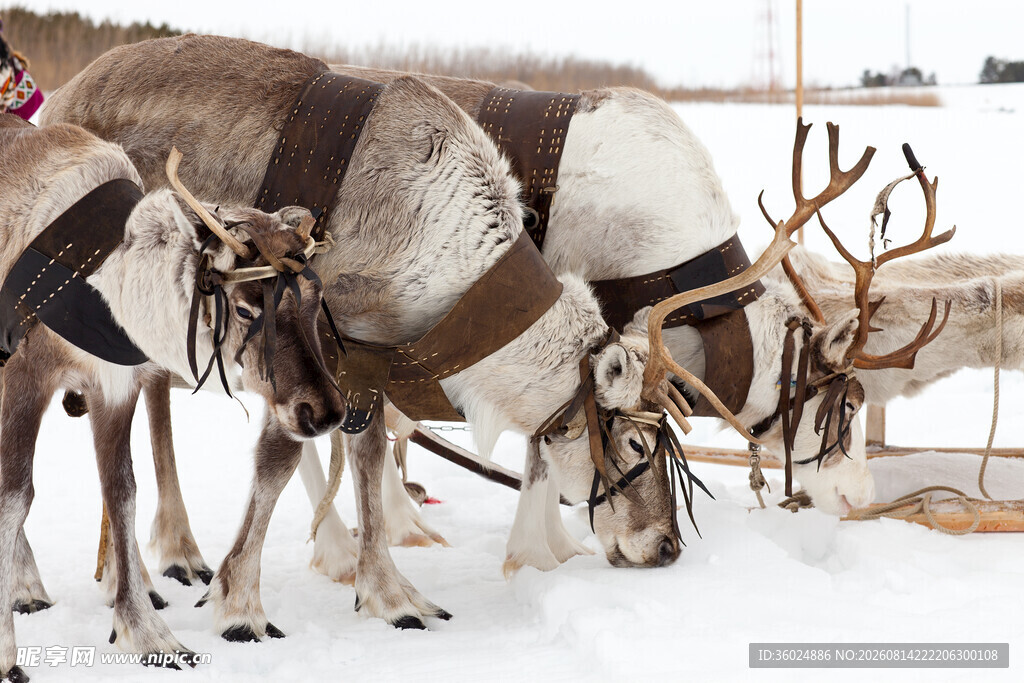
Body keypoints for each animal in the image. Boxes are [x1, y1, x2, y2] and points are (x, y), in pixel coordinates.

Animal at [0, 114, 345, 682]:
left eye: (318, 301)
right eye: (246, 308)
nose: (323, 411)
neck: (110, 286)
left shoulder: (113, 386)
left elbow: (122, 494)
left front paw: (144, 633)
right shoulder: (25, 374)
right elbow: (16, 496)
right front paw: (7, 652)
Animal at [40, 34, 711, 638]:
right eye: (636, 445)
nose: (668, 546)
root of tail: (55, 103)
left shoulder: (369, 359)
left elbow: (365, 458)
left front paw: (386, 592)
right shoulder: (314, 350)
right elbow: (282, 460)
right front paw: (241, 605)